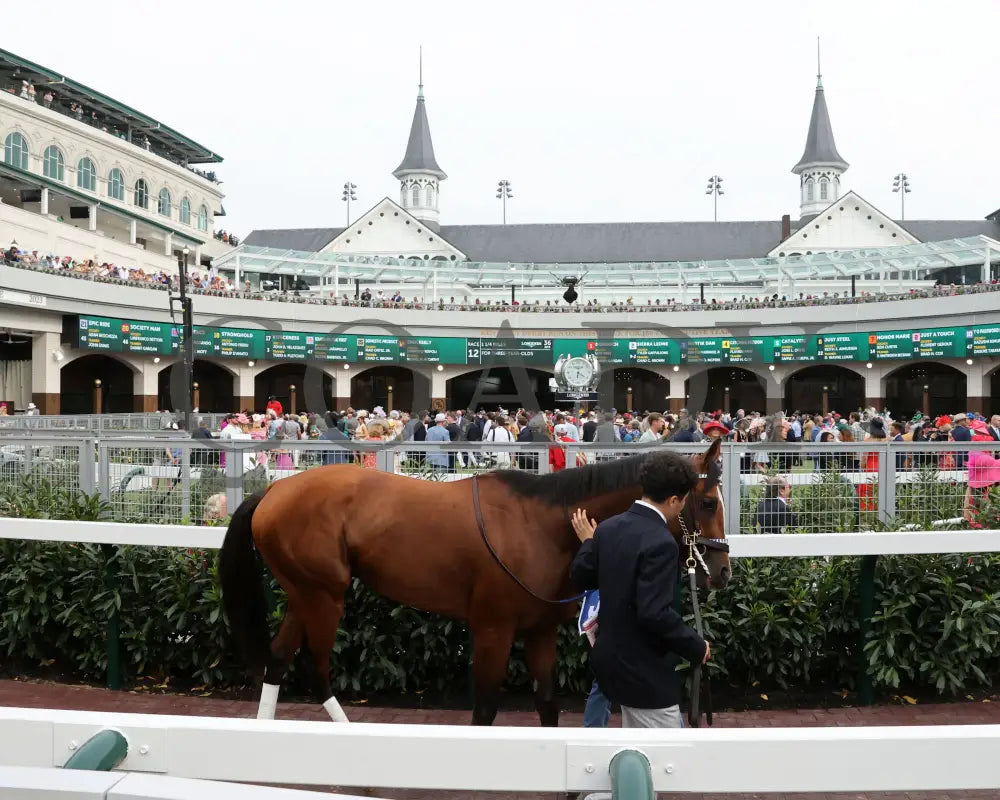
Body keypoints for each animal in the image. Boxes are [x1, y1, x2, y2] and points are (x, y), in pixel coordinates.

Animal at [219, 438, 732, 724]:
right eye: (708, 503)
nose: (723, 570)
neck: (541, 524)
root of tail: (273, 489)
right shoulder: (492, 628)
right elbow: (484, 709)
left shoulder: (539, 630)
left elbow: (547, 704)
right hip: (324, 594)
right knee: (318, 669)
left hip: (303, 592)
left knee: (278, 660)